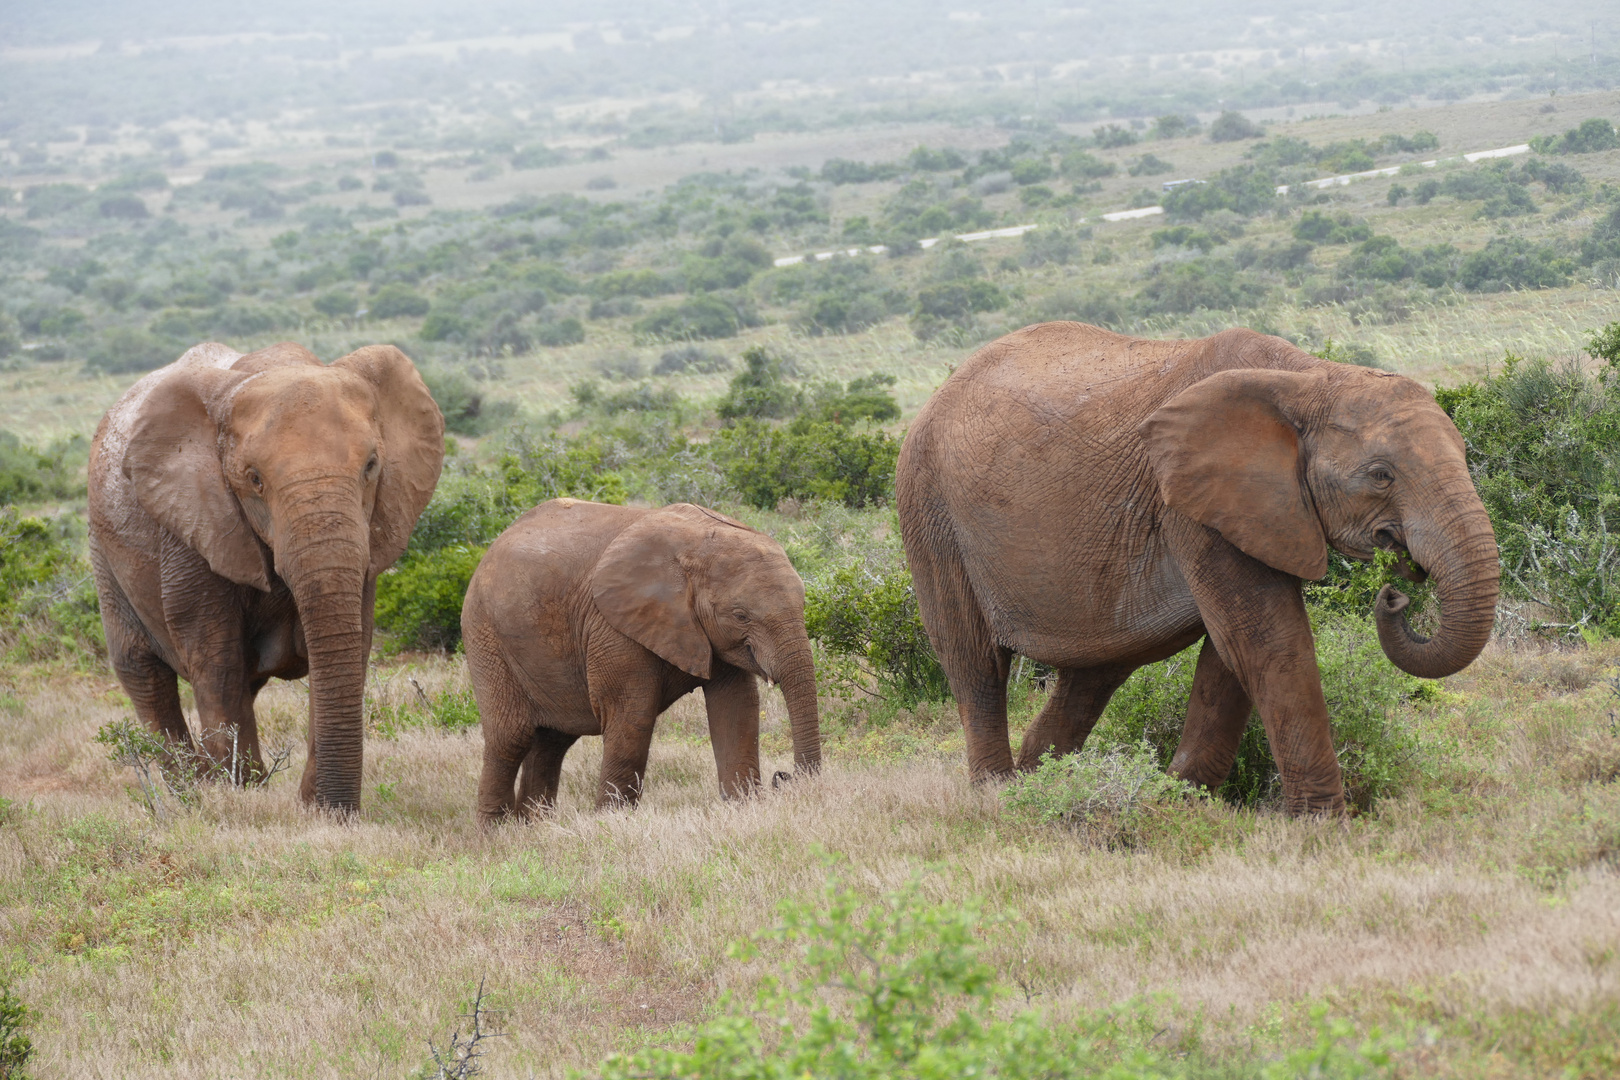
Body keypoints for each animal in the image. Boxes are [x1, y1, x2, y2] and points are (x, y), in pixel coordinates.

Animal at [88, 340, 443, 809]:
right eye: (254, 479)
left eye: (371, 465)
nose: (335, 810)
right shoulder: (193, 525)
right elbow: (216, 659)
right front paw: (236, 797)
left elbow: (353, 645)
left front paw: (312, 808)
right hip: (103, 550)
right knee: (144, 675)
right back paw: (193, 795)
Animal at [466, 498, 822, 819]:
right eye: (741, 616)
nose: (784, 777)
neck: (698, 544)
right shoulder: (613, 625)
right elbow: (632, 714)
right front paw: (612, 822)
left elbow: (737, 708)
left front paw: (744, 808)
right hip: (485, 634)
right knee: (510, 738)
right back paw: (497, 835)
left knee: (551, 743)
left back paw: (535, 827)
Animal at [894, 325, 1496, 816]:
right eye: (1380, 475)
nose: (1395, 592)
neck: (1306, 377)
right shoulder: (1193, 505)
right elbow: (1268, 642)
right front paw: (1323, 827)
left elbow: (1231, 658)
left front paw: (1176, 799)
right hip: (929, 511)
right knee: (976, 664)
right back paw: (999, 798)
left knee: (1095, 674)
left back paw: (1045, 785)